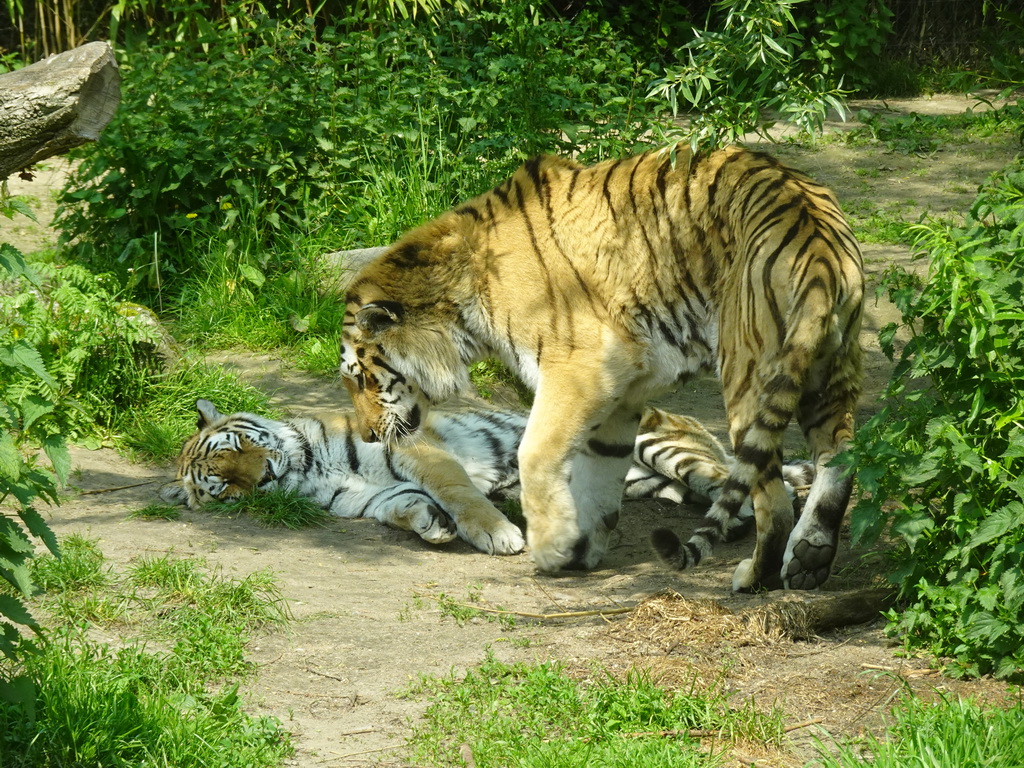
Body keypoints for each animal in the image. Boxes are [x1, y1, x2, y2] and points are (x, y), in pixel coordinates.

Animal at [339, 143, 860, 589]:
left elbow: (536, 455)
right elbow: (601, 475)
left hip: (749, 371)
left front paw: (551, 548)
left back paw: (754, 576)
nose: (366, 435)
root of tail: (816, 237)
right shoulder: (623, 390)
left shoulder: (578, 369)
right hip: (828, 369)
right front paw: (580, 549)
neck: (461, 308)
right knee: (841, 455)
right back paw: (810, 560)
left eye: (361, 378)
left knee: (772, 499)